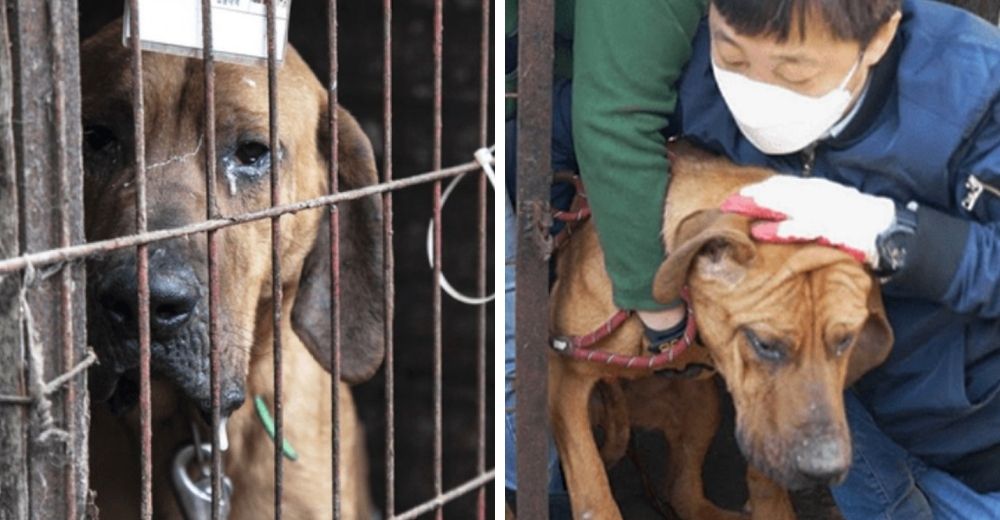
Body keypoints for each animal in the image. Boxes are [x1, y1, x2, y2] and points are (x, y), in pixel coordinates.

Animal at [552, 143, 896, 520]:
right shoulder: (567, 377)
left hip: (703, 405)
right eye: (763, 343)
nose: (825, 469)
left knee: (683, 492)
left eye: (845, 340)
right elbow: (594, 491)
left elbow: (766, 479)